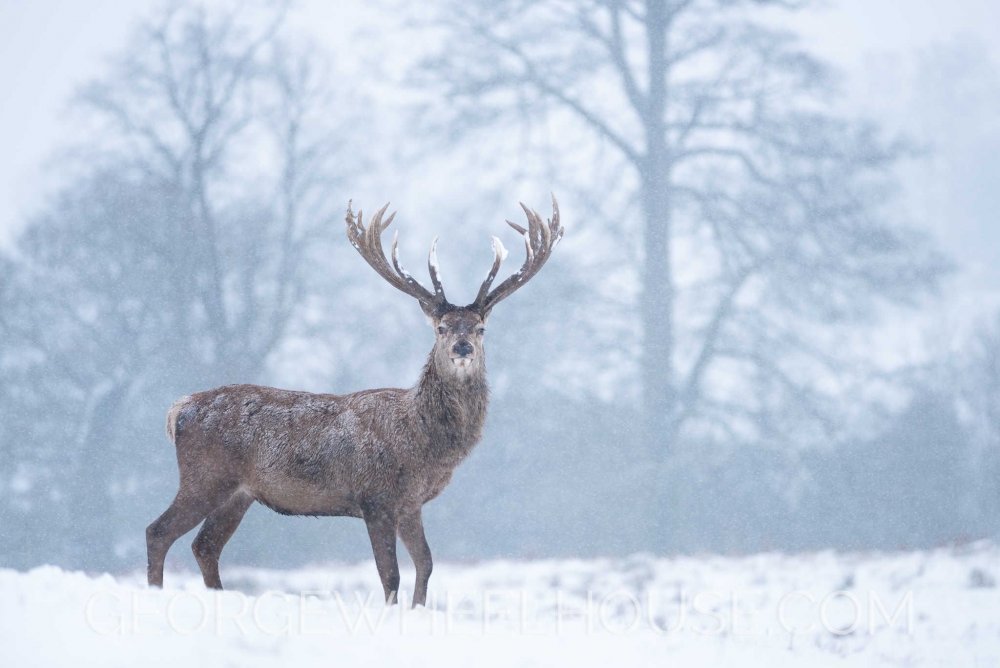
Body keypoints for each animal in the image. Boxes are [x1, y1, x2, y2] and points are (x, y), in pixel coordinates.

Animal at [145, 197, 564, 604]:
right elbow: (390, 574)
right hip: (206, 475)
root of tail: (179, 410)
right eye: (441, 328)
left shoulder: (410, 503)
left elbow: (426, 565)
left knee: (205, 546)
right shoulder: (375, 497)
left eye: (480, 328)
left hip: (239, 493)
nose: (463, 348)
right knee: (158, 531)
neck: (423, 443)